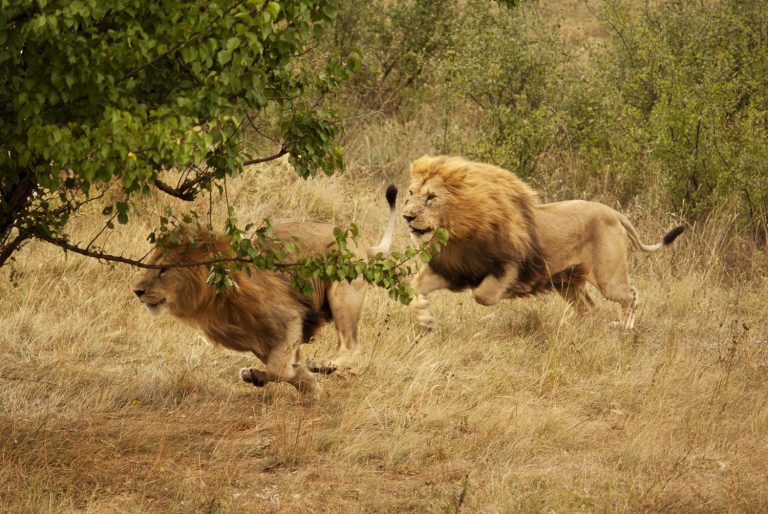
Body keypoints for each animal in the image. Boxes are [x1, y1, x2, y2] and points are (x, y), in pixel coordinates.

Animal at [132, 185, 398, 403]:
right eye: (150, 264)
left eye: (164, 269)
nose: (137, 291)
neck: (212, 297)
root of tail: (360, 245)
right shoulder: (256, 337)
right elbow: (284, 368)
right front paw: (310, 389)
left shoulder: (289, 318)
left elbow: (280, 368)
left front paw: (273, 376)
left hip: (342, 294)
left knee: (351, 344)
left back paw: (324, 365)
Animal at [401, 155, 685, 330]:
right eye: (410, 194)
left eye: (431, 197)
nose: (406, 216)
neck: (456, 234)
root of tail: (614, 212)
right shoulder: (451, 268)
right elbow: (414, 288)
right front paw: (426, 318)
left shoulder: (510, 264)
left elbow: (482, 295)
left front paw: (511, 291)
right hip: (568, 280)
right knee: (588, 307)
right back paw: (566, 327)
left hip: (608, 278)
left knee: (631, 295)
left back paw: (624, 326)